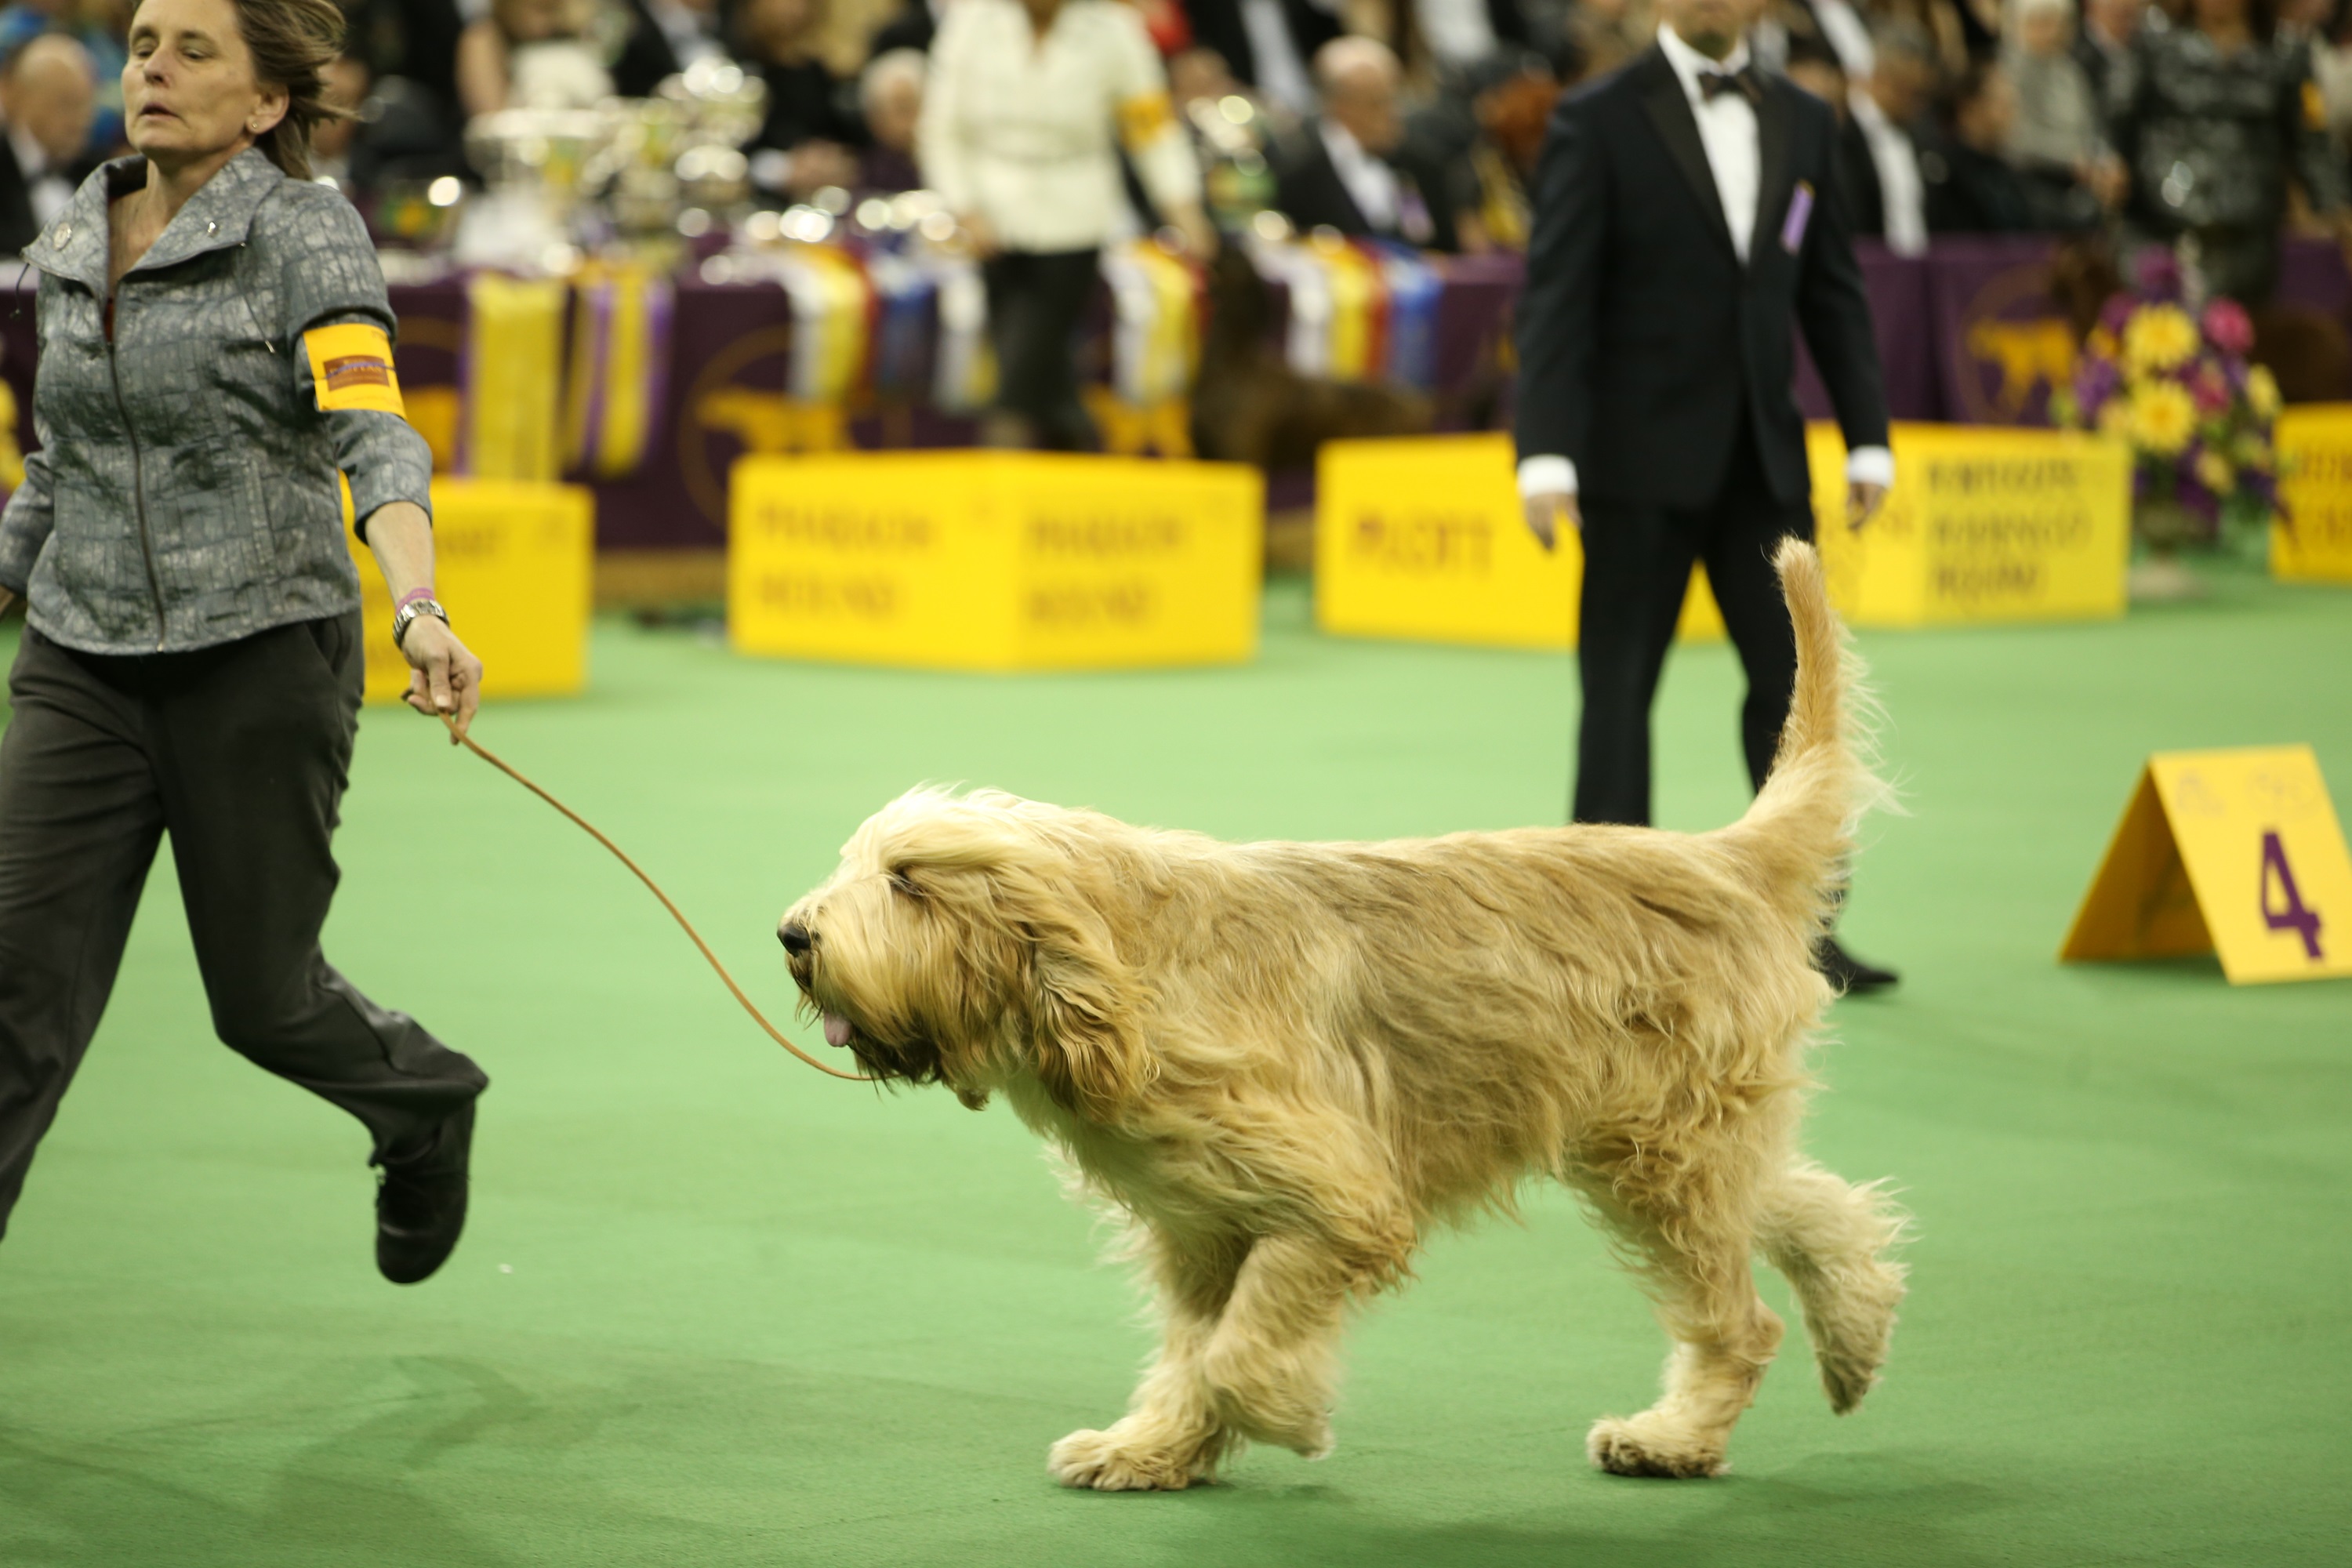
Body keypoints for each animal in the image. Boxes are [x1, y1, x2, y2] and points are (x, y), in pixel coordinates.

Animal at [781, 545, 1900, 1495]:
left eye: (908, 880)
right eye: (858, 864)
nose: (793, 933)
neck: (1131, 976)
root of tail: (1723, 855)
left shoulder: (1333, 1198)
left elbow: (1235, 1348)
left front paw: (1288, 1414)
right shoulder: (1202, 1222)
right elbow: (1193, 1345)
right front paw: (1155, 1447)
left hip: (1665, 1150)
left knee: (1741, 1316)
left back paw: (1676, 1435)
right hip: (1665, 1138)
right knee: (1810, 1204)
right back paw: (1856, 1328)